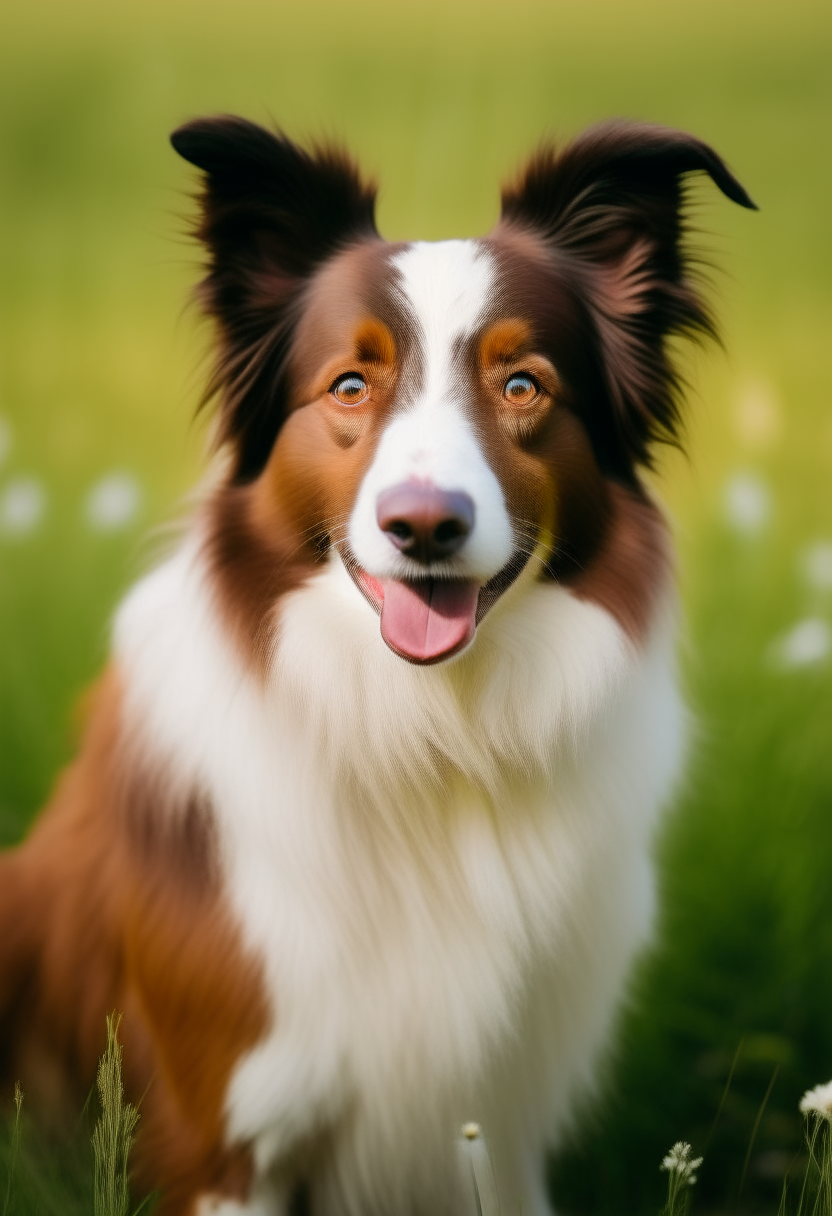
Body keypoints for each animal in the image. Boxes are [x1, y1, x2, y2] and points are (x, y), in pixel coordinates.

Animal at [0, 116, 754, 1216]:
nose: (425, 526)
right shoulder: (226, 1134)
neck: (433, 735)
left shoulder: (500, 1130)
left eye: (522, 385)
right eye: (349, 385)